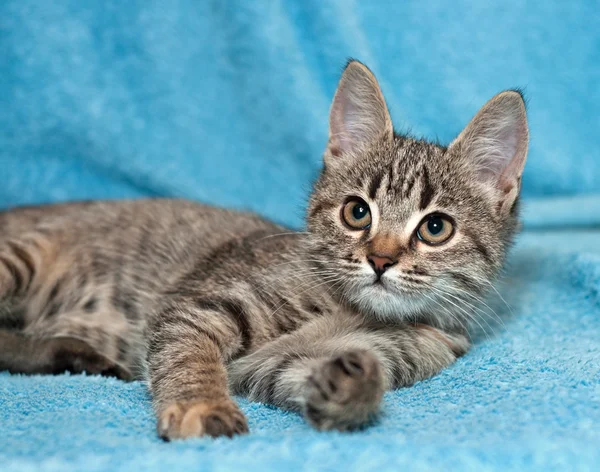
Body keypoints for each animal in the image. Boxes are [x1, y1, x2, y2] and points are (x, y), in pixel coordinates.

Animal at [0, 60, 524, 440]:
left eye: (435, 228)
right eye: (357, 213)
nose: (380, 259)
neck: (360, 313)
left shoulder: (277, 364)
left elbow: (298, 371)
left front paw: (350, 387)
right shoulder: (196, 306)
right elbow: (188, 355)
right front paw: (200, 405)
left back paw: (76, 355)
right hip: (21, 257)